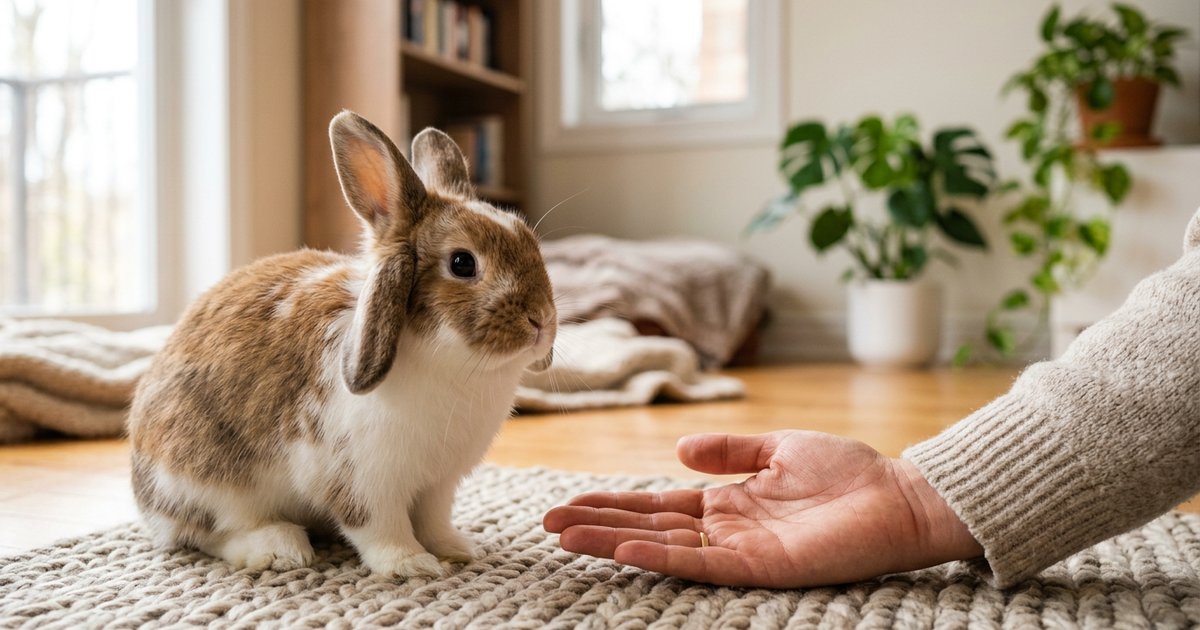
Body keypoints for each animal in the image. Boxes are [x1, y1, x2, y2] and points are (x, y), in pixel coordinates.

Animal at [127, 110, 556, 579]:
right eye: (462, 263)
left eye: (529, 240)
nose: (541, 321)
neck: (452, 362)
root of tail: (144, 498)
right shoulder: (362, 479)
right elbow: (379, 526)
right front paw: (411, 565)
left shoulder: (438, 484)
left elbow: (433, 520)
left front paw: (456, 549)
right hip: (204, 481)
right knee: (208, 533)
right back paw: (278, 548)